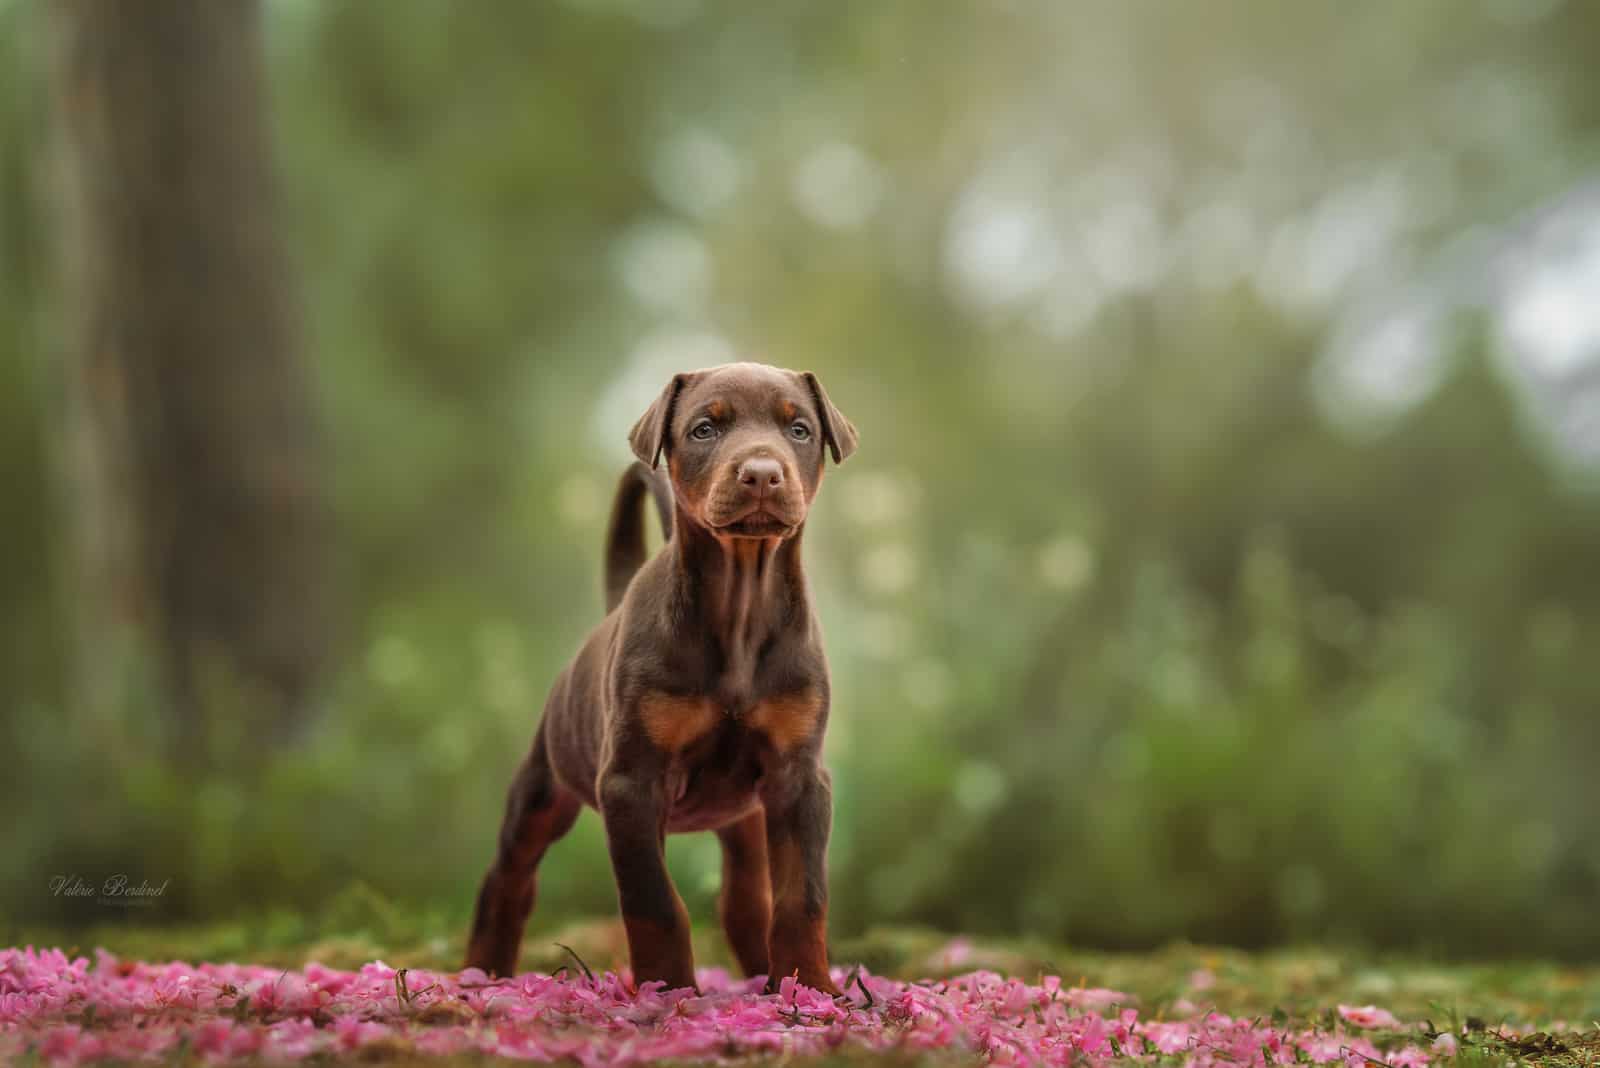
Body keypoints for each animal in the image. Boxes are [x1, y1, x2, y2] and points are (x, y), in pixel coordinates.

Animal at [467, 362, 851, 997]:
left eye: (799, 429)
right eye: (703, 429)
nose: (762, 473)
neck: (740, 606)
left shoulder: (799, 777)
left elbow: (804, 895)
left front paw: (811, 988)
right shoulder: (631, 782)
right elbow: (654, 902)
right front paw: (668, 992)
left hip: (744, 813)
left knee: (745, 899)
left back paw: (764, 977)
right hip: (546, 786)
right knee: (509, 876)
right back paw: (484, 973)